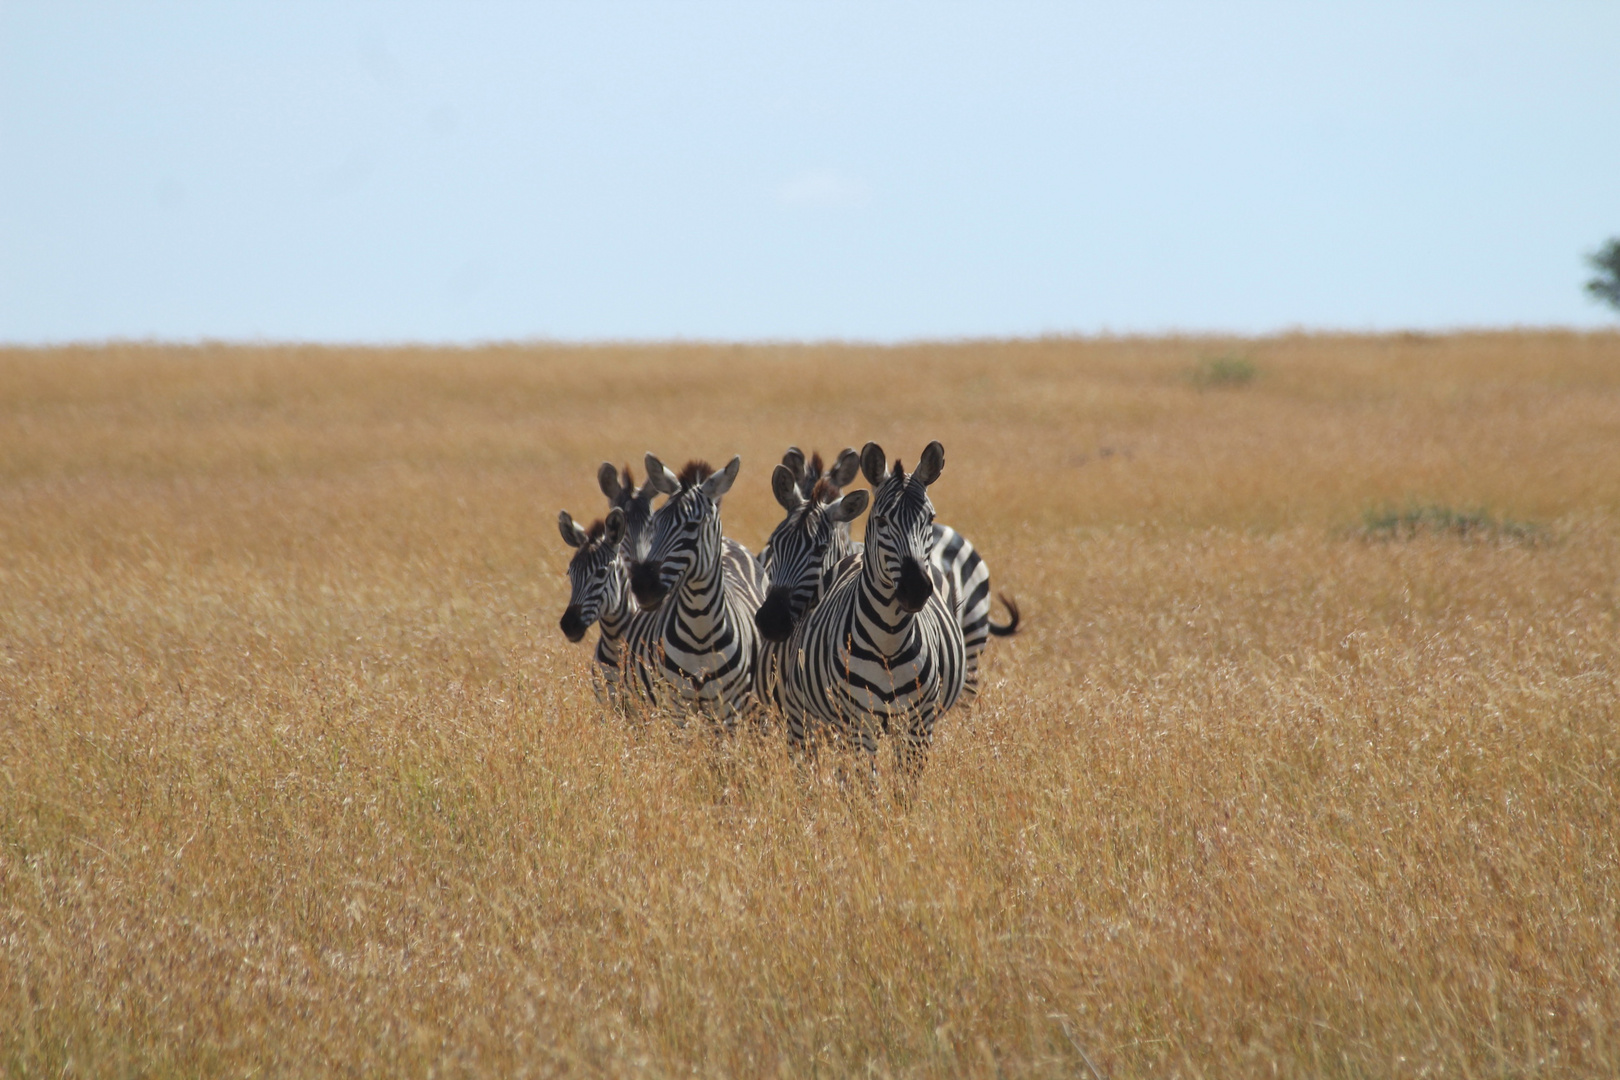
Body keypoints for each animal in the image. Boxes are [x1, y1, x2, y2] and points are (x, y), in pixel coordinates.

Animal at [625, 453, 764, 731]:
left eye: (692, 525)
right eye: (655, 523)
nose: (643, 586)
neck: (700, 628)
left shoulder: (727, 711)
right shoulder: (677, 706)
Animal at [777, 440, 965, 777]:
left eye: (930, 519)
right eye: (881, 521)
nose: (916, 588)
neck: (889, 638)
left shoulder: (918, 724)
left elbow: (906, 784)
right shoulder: (858, 723)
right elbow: (867, 781)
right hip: (807, 714)